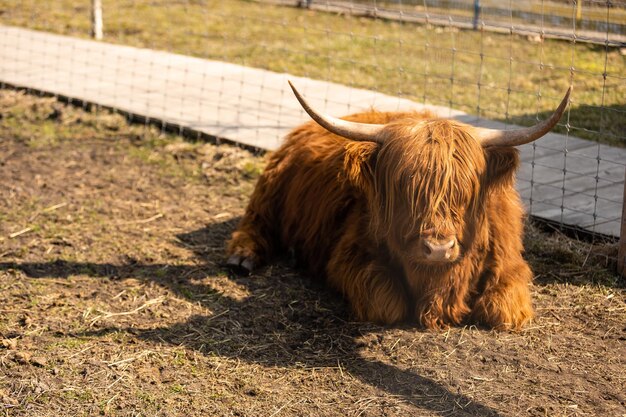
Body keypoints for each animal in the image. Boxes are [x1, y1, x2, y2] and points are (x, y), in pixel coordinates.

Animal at [225, 81, 572, 328]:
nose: (438, 248)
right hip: (271, 185)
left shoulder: (510, 267)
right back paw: (243, 257)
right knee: (255, 219)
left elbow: (503, 311)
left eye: (465, 190)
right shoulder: (351, 257)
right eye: (406, 187)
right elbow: (388, 305)